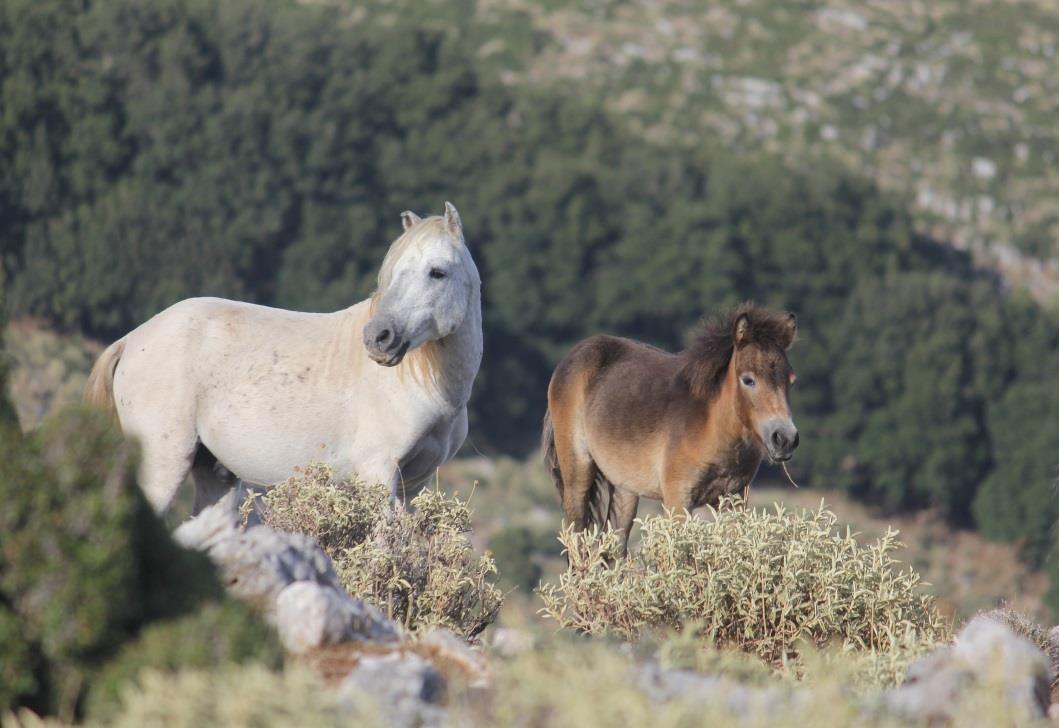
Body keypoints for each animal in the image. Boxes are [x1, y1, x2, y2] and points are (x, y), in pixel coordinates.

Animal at [84, 202, 482, 515]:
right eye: (393, 272)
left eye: (437, 272)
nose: (378, 338)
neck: (428, 386)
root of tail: (131, 341)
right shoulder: (378, 472)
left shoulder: (412, 486)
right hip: (162, 466)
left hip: (215, 476)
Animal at [546, 300, 796, 551]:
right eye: (748, 380)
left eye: (791, 380)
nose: (785, 439)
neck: (713, 427)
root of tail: (570, 358)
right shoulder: (678, 498)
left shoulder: (734, 498)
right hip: (578, 474)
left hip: (624, 487)